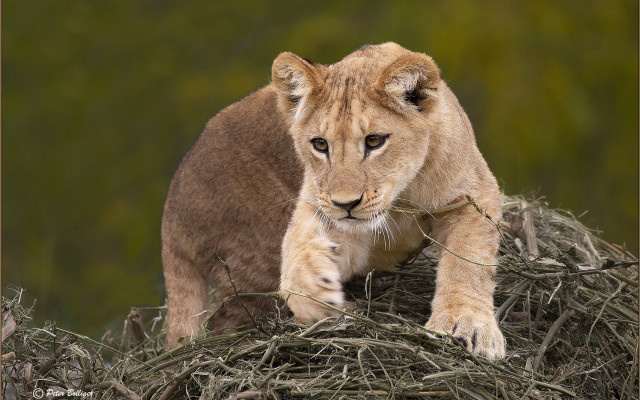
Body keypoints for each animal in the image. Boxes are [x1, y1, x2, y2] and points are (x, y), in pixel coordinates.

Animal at [162, 42, 505, 359]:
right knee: (229, 323)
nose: (346, 204)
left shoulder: (474, 195)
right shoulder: (324, 209)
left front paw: (464, 324)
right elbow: (298, 249)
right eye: (320, 144)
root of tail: (170, 209)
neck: (401, 195)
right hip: (250, 258)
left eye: (374, 141)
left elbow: (467, 261)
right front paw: (312, 291)